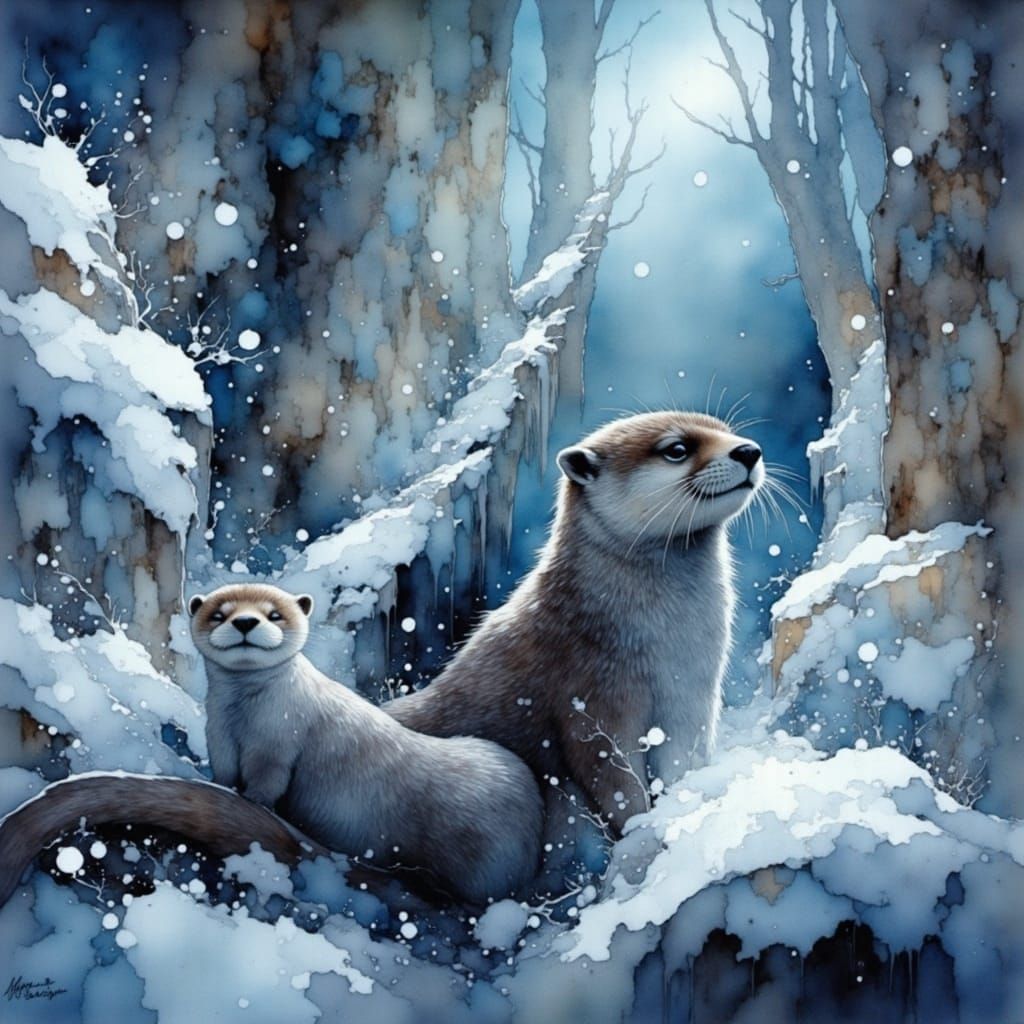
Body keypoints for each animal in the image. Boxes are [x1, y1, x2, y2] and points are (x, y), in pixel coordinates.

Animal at [0, 585, 543, 906]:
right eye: (219, 612)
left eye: (274, 614)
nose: (244, 623)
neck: (244, 717)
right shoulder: (219, 735)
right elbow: (222, 772)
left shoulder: (277, 743)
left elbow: (265, 784)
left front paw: (252, 805)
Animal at [387, 411, 764, 829]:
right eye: (677, 449)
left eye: (728, 432)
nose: (749, 450)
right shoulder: (590, 697)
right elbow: (616, 784)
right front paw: (639, 827)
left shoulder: (691, 698)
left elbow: (682, 761)